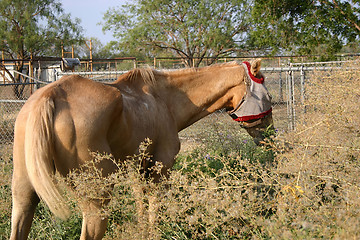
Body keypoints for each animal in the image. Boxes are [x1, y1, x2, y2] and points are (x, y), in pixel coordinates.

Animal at [9, 59, 272, 239]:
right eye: (267, 96)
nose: (270, 137)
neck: (164, 100)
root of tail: (49, 96)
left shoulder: (137, 171)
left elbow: (141, 209)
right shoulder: (160, 171)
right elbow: (154, 212)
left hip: (24, 195)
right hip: (98, 200)